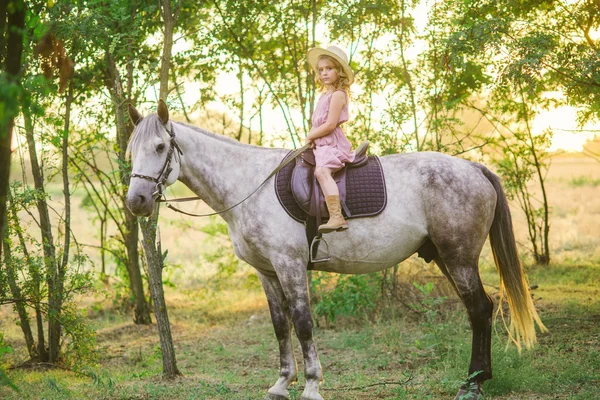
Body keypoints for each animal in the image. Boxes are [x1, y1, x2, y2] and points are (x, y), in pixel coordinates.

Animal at [125, 101, 544, 398]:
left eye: (160, 146)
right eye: (130, 151)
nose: (137, 201)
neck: (249, 185)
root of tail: (475, 169)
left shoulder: (290, 265)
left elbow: (303, 322)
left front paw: (311, 385)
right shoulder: (266, 271)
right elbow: (280, 326)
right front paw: (281, 384)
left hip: (459, 256)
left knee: (480, 310)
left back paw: (472, 384)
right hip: (444, 256)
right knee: (479, 310)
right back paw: (478, 378)